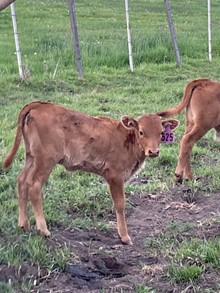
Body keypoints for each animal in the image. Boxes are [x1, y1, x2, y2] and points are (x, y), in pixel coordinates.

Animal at [3, 101, 179, 243]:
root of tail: (39, 105)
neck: (127, 140)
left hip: (31, 156)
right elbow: (120, 204)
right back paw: (43, 230)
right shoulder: (115, 176)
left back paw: (24, 225)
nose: (153, 151)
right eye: (141, 132)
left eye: (161, 133)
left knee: (21, 181)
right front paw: (124, 237)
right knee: (34, 185)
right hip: (45, 160)